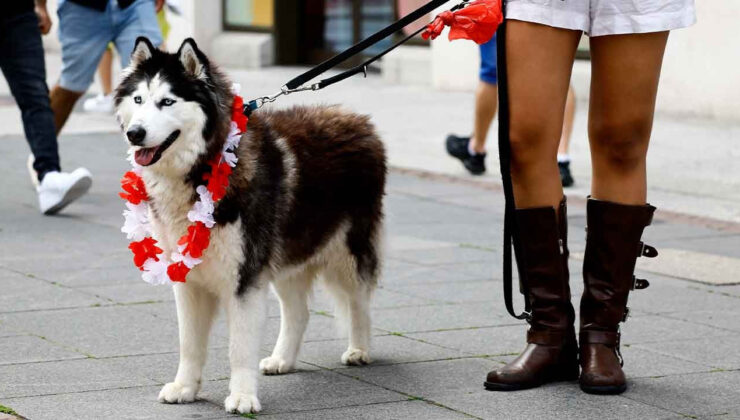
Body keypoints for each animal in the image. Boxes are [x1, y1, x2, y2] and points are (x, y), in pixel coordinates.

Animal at [114, 38, 388, 414]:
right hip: (288, 252)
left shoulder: (244, 278)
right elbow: (189, 343)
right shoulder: (187, 277)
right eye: (139, 99)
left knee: (359, 301)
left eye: (167, 101)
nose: (135, 134)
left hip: (347, 250)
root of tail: (358, 120)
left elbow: (239, 347)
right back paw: (282, 359)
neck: (202, 167)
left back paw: (359, 349)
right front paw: (185, 387)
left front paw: (242, 396)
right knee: (299, 312)